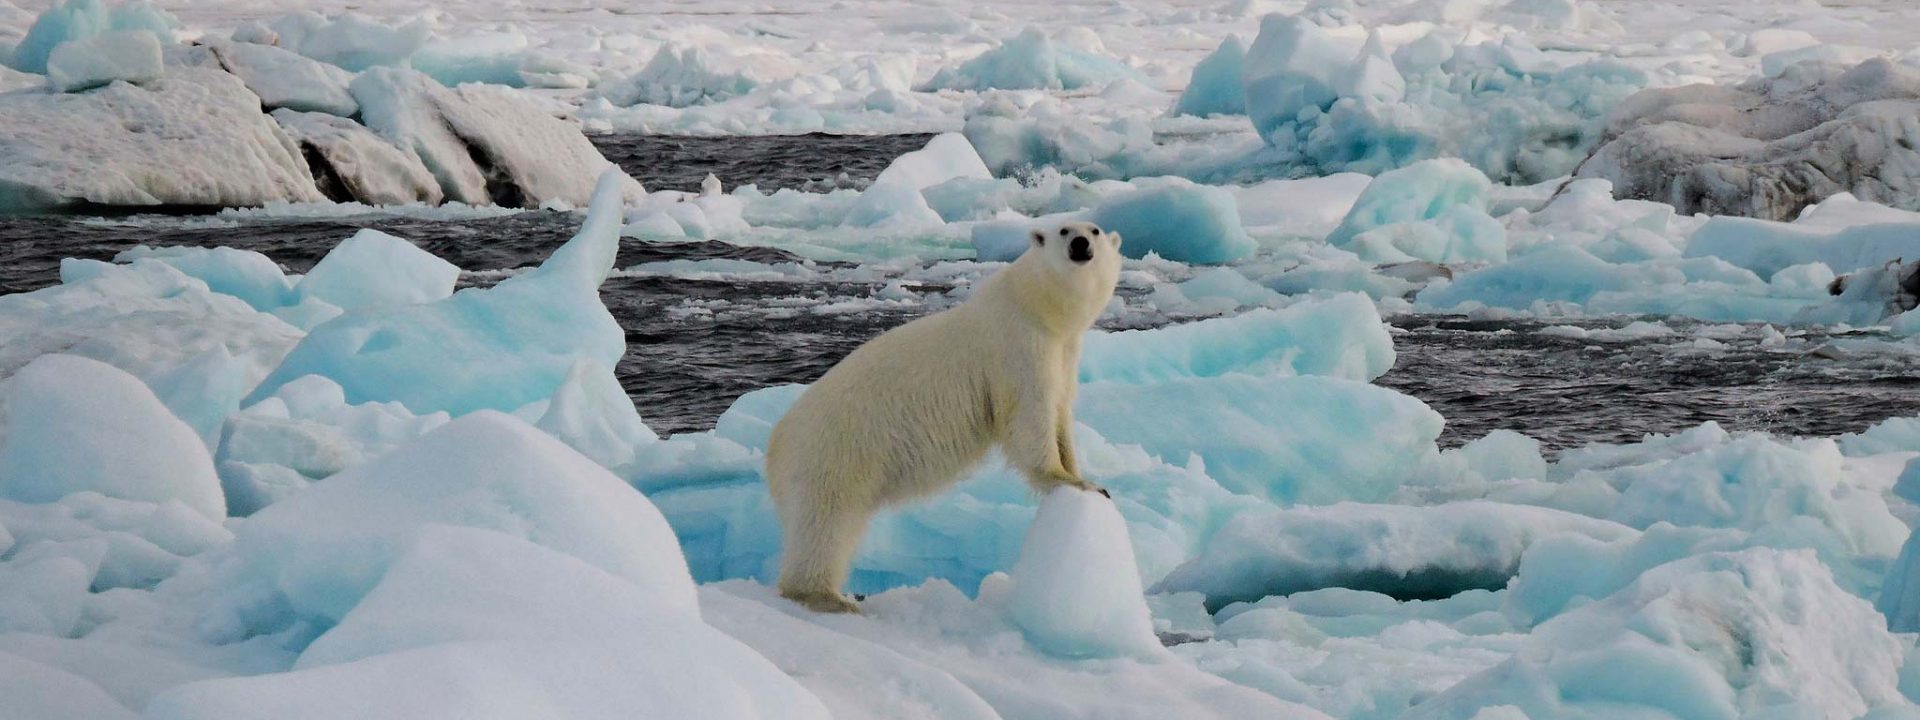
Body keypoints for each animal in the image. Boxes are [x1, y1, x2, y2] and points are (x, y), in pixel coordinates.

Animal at [764, 221, 1121, 614]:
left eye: (1095, 230)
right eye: (1064, 230)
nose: (1081, 244)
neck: (1033, 306)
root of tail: (775, 447)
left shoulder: (1063, 353)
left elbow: (1059, 413)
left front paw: (1085, 475)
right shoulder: (1019, 349)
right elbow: (1030, 416)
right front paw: (1072, 480)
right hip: (833, 455)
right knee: (827, 523)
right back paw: (826, 596)